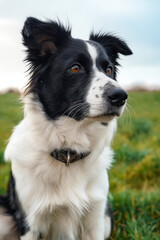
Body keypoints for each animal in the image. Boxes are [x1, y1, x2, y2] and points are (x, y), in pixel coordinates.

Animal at [0, 17, 132, 240]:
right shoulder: (30, 223)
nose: (120, 96)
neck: (69, 151)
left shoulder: (95, 218)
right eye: (75, 68)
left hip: (107, 218)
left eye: (109, 70)